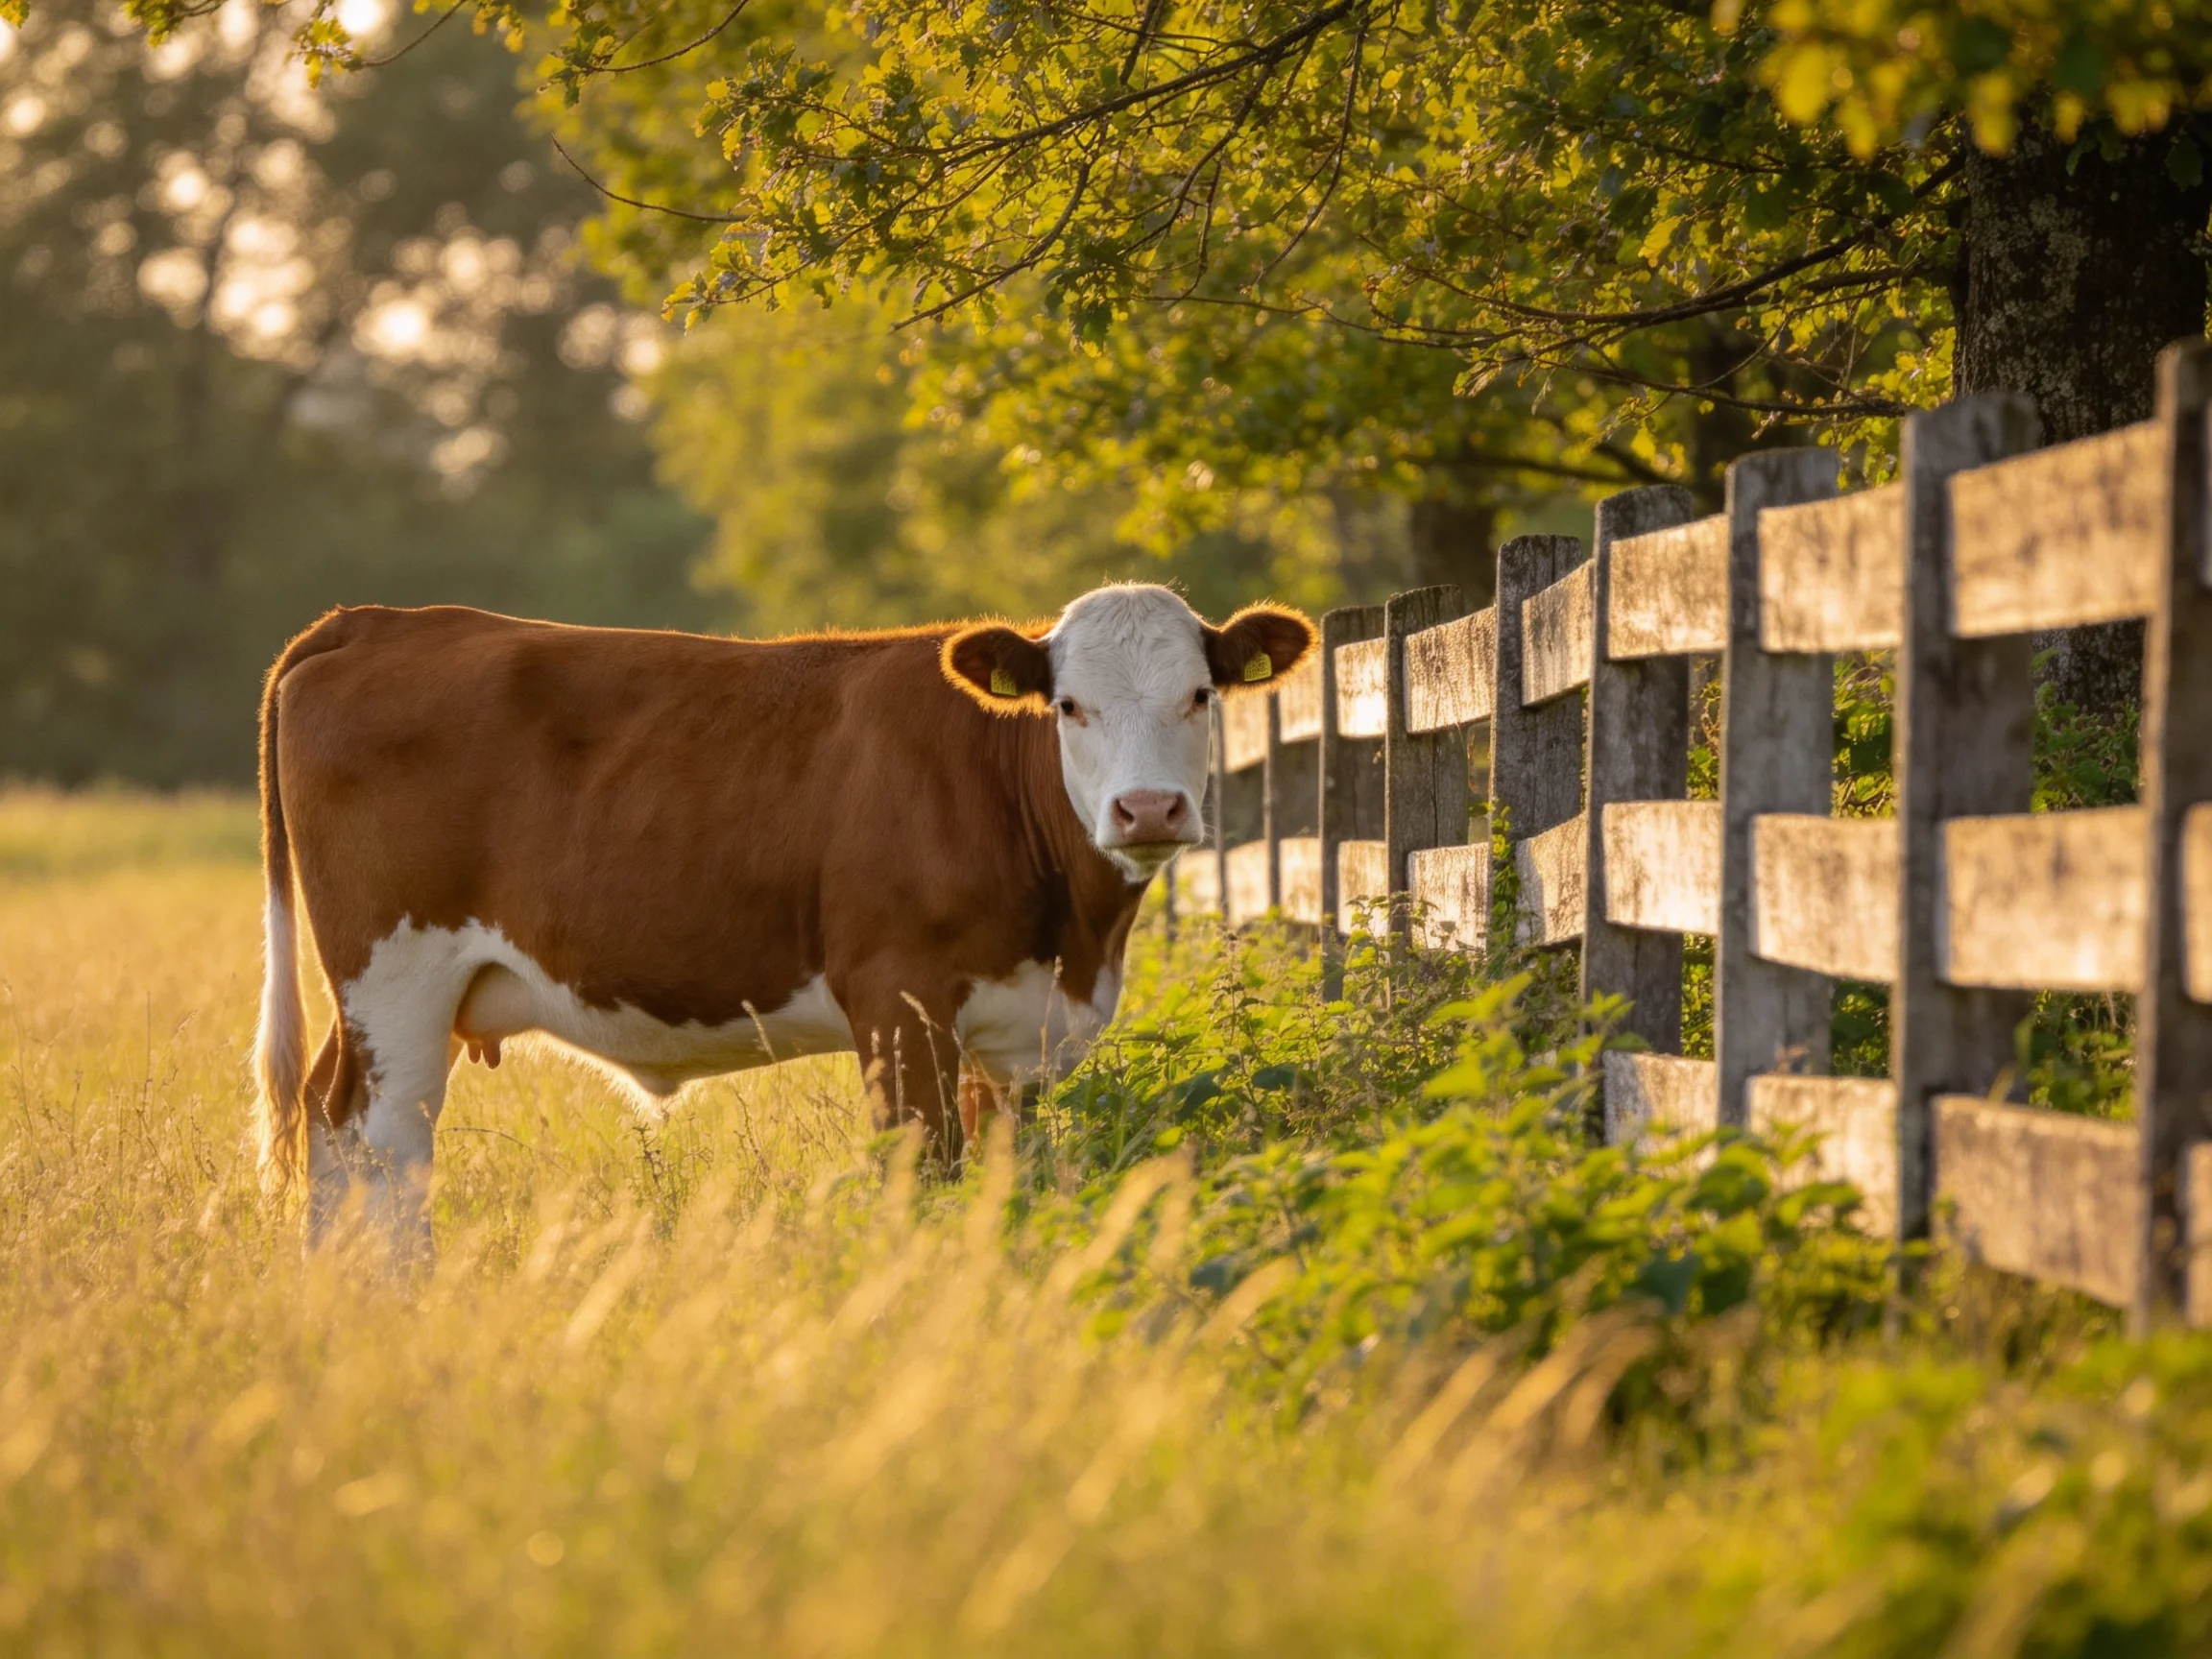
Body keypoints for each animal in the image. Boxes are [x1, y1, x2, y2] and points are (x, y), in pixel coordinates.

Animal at [253, 584, 1316, 1253]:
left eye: (1200, 693)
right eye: (1069, 706)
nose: (1148, 810)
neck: (1076, 944)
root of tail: (377, 620)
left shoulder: (1020, 1036)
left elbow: (1002, 1176)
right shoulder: (896, 998)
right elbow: (920, 1168)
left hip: (387, 998)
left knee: (328, 1123)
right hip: (396, 977)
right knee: (384, 1142)